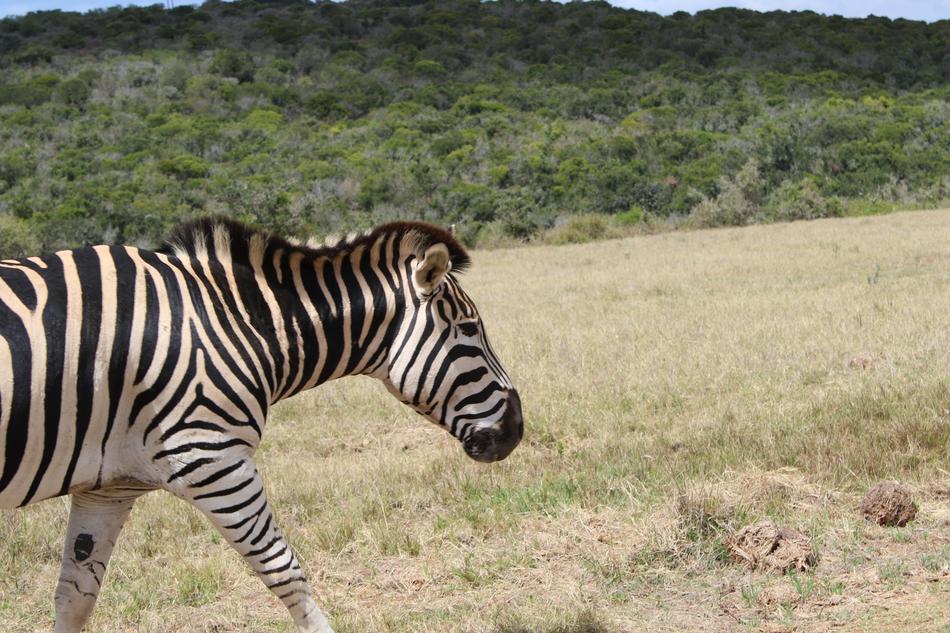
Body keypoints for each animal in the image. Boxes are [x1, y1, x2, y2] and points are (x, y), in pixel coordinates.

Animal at [0, 216, 523, 633]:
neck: (235, 324)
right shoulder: (213, 460)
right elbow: (285, 571)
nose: (516, 429)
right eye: (470, 330)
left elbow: (75, 597)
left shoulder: (109, 486)